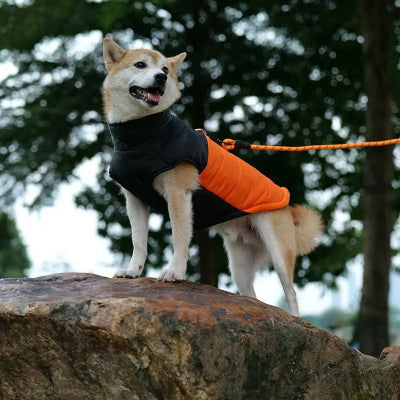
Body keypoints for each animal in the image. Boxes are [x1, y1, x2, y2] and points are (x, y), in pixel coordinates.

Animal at [101, 37, 324, 316]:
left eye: (165, 70)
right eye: (140, 65)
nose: (161, 78)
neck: (141, 136)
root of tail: (286, 204)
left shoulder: (178, 195)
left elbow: (179, 238)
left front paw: (174, 272)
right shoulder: (134, 200)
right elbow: (139, 241)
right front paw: (133, 271)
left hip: (278, 249)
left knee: (291, 293)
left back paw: (295, 318)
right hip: (239, 263)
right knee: (251, 295)